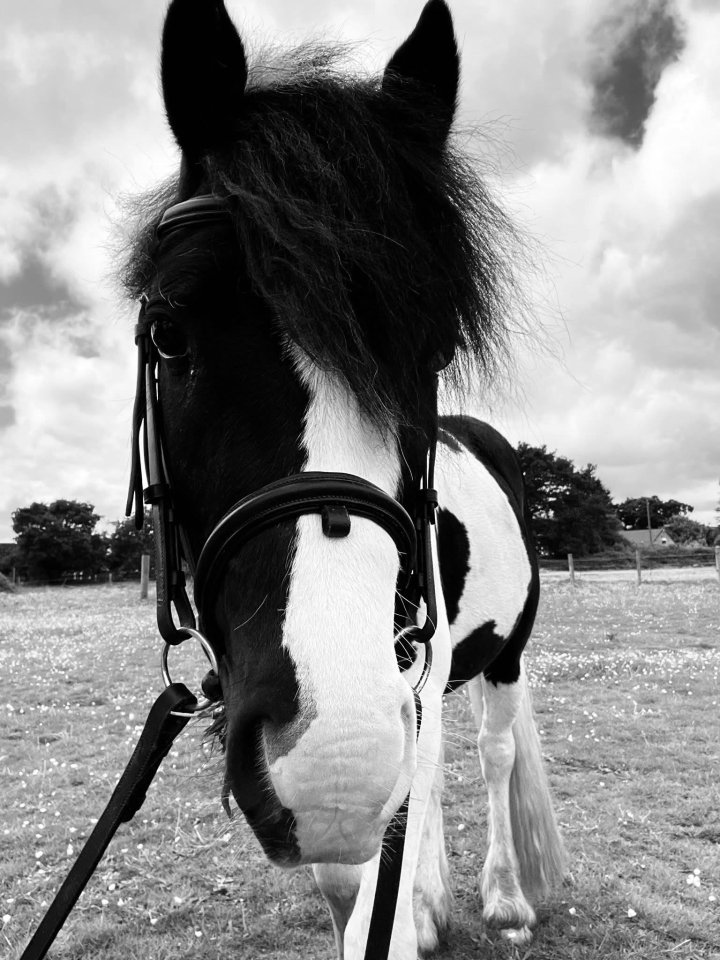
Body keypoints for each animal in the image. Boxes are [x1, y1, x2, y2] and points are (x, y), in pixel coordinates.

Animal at [120, 0, 565, 956]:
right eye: (169, 335)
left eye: (434, 351)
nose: (333, 764)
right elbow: (356, 869)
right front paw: (412, 905)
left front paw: (421, 908)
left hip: (500, 655)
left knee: (488, 754)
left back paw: (505, 898)